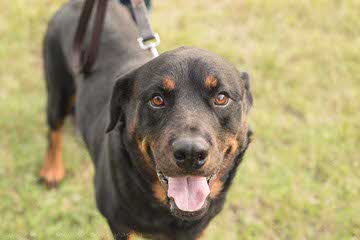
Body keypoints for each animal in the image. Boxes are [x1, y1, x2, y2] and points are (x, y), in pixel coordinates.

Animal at [38, 0, 253, 239]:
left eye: (221, 97)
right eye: (157, 99)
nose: (190, 153)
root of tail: (74, 5)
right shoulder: (120, 225)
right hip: (58, 88)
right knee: (54, 130)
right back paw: (52, 170)